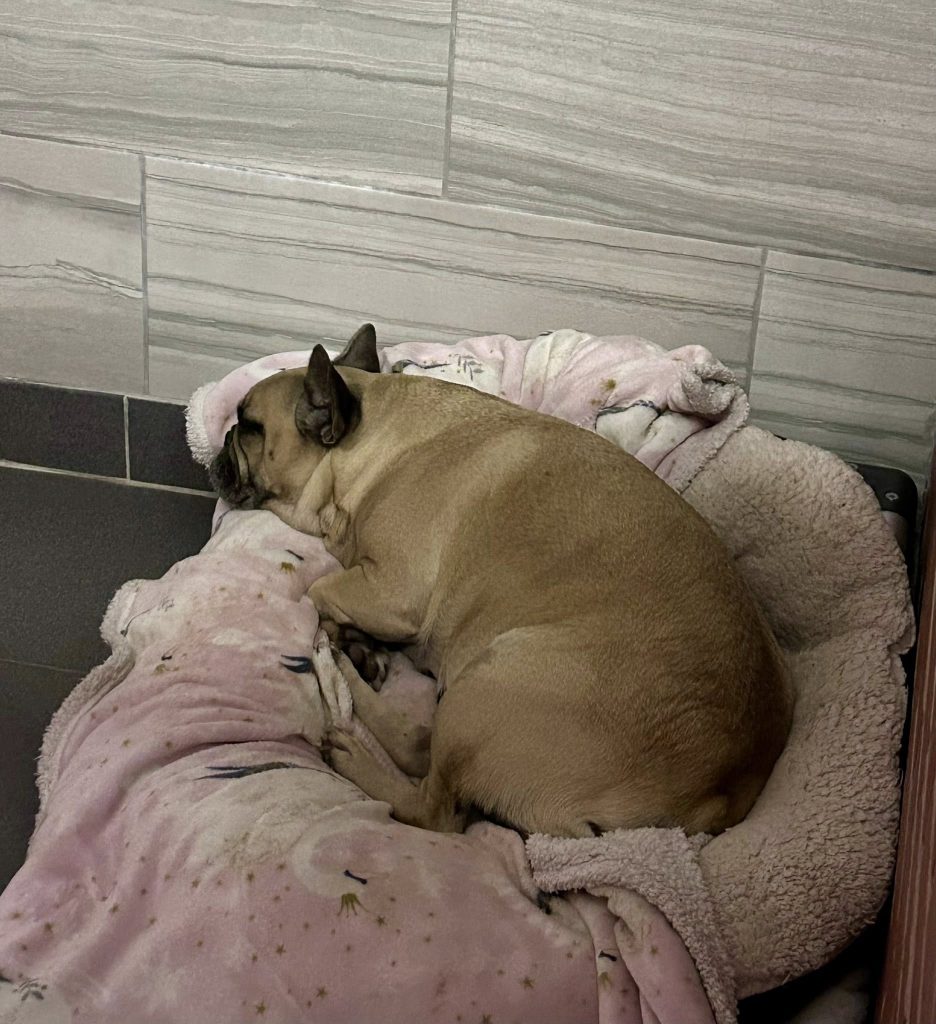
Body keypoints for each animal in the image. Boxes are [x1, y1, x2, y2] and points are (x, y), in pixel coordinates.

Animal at [210, 324, 793, 838]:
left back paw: (350, 726)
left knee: (430, 798)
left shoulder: (392, 591)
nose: (222, 443)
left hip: (489, 683)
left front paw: (346, 636)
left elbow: (321, 590)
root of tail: (714, 796)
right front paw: (363, 645)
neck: (367, 446)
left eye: (250, 426)